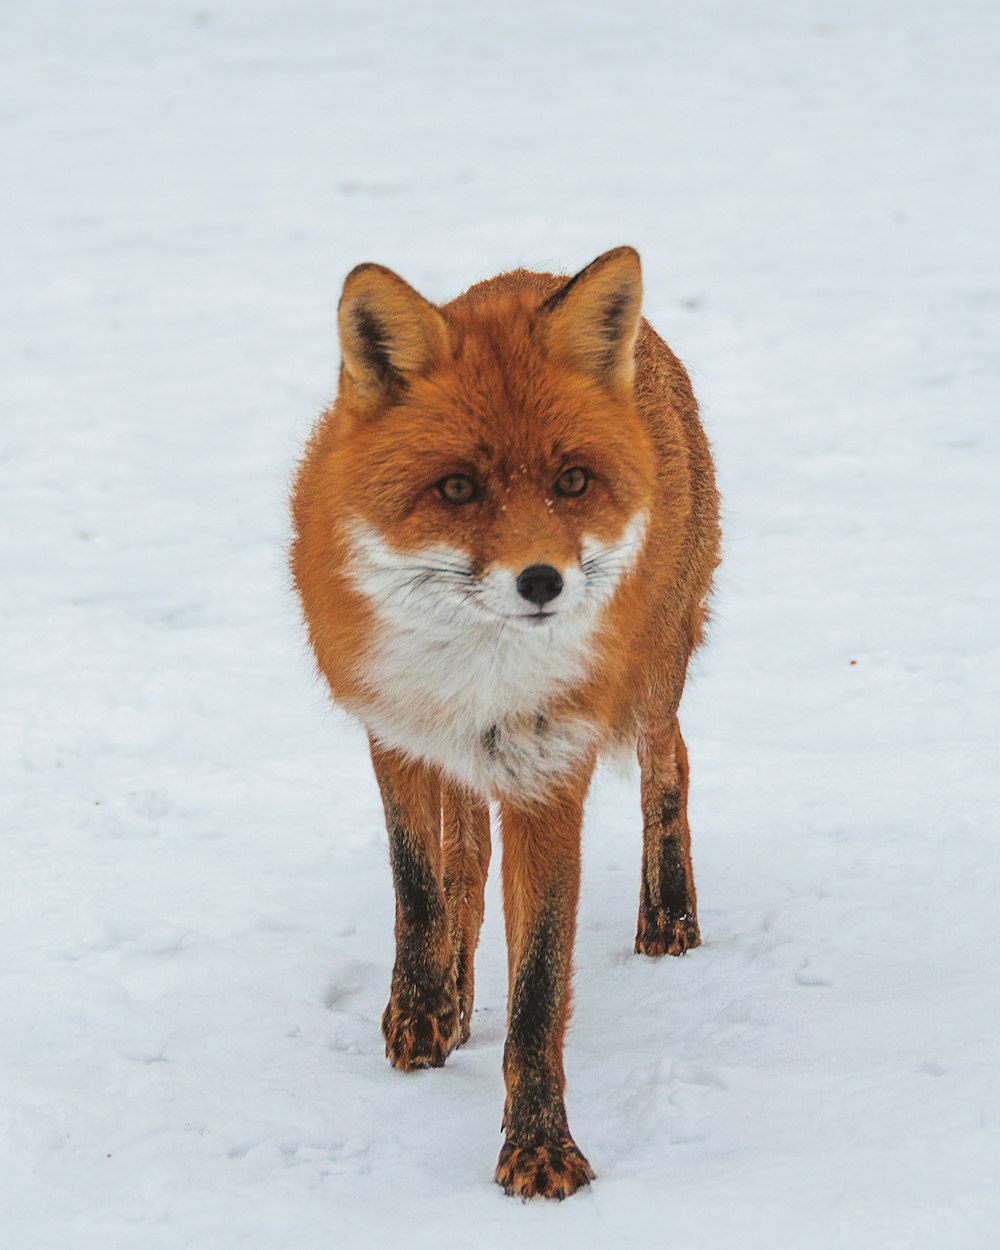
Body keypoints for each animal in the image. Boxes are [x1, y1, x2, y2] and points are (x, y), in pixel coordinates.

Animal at [288, 246, 720, 1200]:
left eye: (571, 482)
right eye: (458, 487)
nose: (542, 582)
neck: (481, 676)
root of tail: (537, 271)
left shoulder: (549, 772)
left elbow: (538, 990)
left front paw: (540, 1150)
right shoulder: (399, 733)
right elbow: (421, 887)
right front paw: (422, 1008)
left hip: (651, 676)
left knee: (672, 762)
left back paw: (669, 916)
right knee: (465, 859)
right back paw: (449, 995)